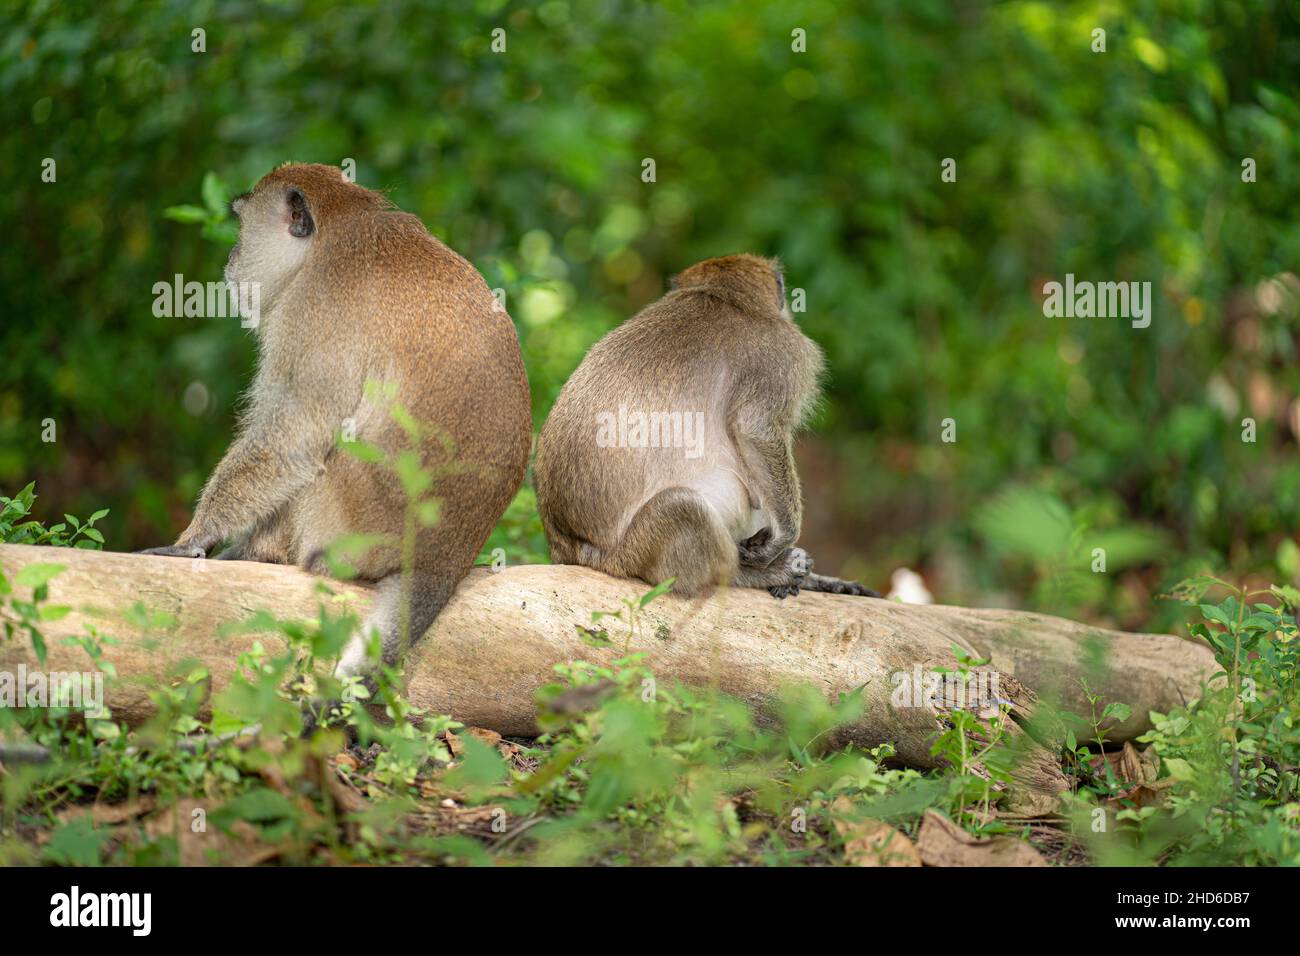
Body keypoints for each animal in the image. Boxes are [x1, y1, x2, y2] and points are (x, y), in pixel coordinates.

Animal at [139, 164, 530, 686]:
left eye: (240, 225)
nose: (230, 259)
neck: (344, 223)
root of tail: (442, 561)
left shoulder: (310, 309)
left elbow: (296, 434)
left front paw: (195, 539)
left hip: (348, 523)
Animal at [533, 254, 878, 598]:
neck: (728, 296)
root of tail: (570, 549)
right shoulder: (784, 355)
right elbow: (756, 430)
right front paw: (784, 538)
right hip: (636, 551)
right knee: (683, 508)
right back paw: (759, 574)